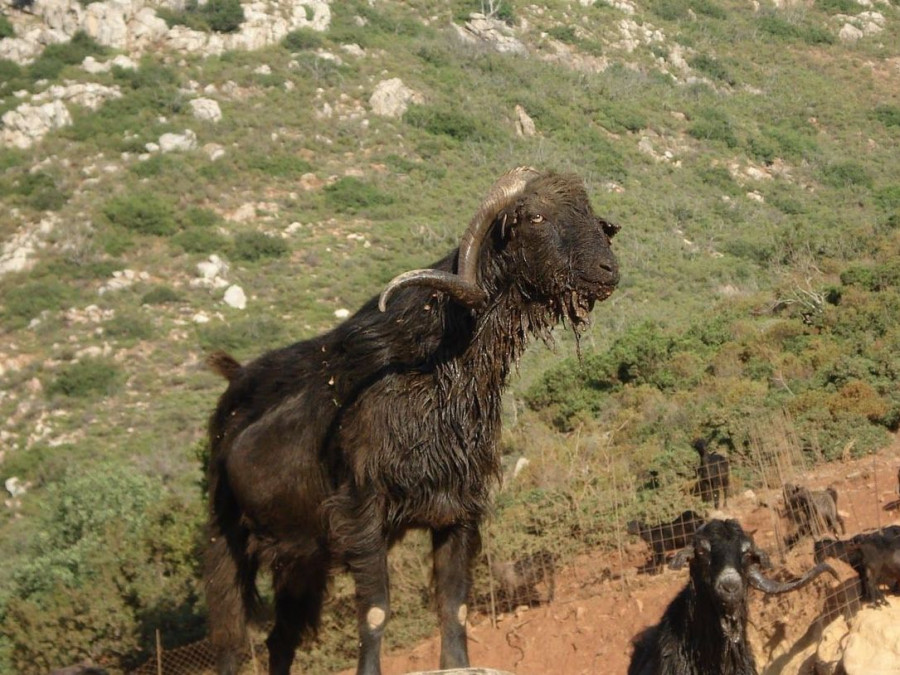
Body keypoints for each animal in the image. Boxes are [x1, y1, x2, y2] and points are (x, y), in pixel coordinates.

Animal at [202, 167, 620, 675]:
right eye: (535, 216)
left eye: (589, 211)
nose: (608, 270)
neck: (433, 364)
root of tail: (235, 381)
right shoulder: (361, 512)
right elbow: (376, 610)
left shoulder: (459, 507)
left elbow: (454, 604)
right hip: (226, 535)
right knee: (230, 633)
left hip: (301, 556)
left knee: (281, 638)